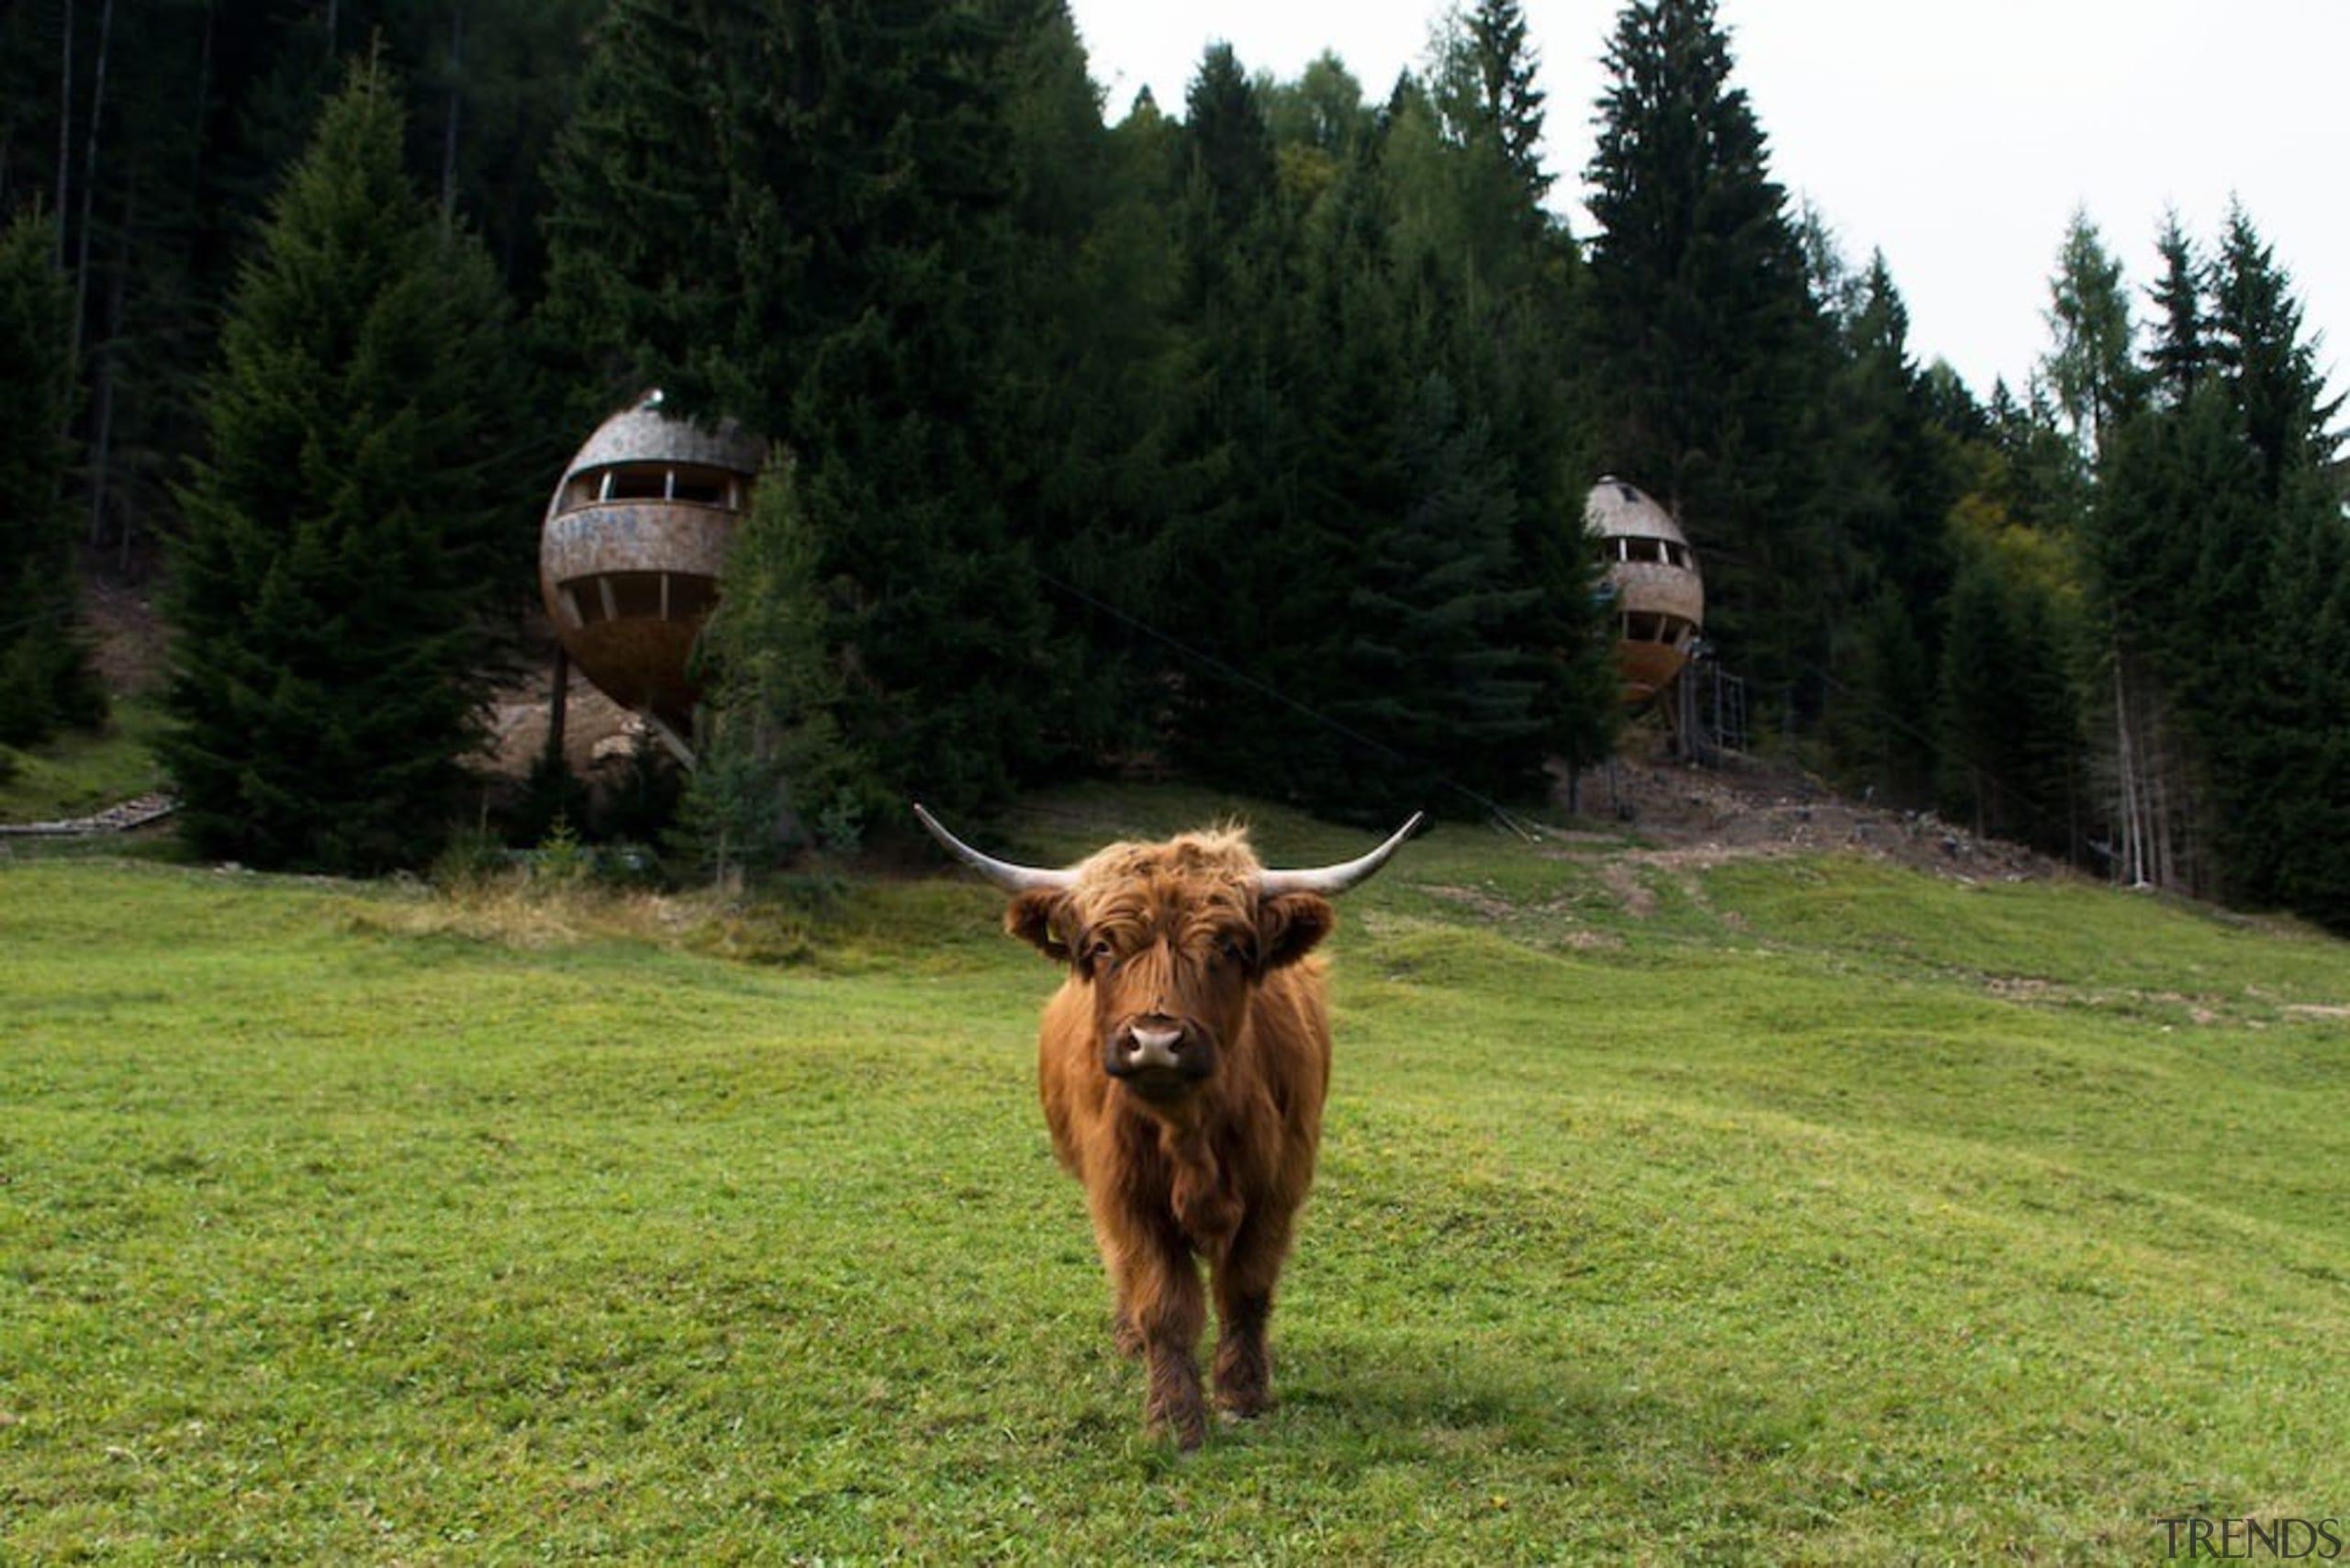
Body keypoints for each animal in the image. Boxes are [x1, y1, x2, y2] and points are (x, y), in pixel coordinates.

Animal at [912, 808, 1410, 1448]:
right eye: (1102, 946)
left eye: (1229, 945)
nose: (1154, 1041)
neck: (1191, 1132)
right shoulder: (1127, 1195)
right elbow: (1165, 1303)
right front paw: (1174, 1418)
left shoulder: (1276, 1191)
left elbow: (1246, 1290)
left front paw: (1242, 1395)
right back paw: (1129, 1340)